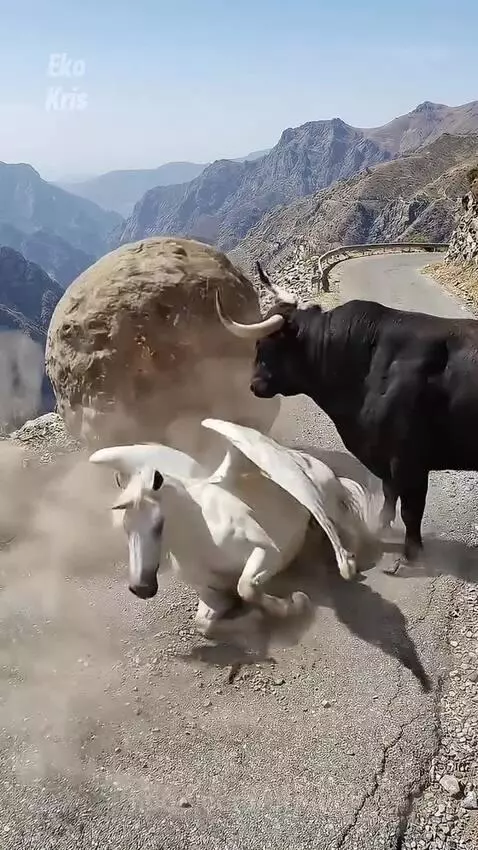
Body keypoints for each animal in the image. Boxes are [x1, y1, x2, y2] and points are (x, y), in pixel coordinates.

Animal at [215, 261, 478, 568]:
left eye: (266, 345)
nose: (253, 385)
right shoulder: (385, 457)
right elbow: (390, 493)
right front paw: (380, 526)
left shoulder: (409, 460)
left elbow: (411, 509)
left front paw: (409, 555)